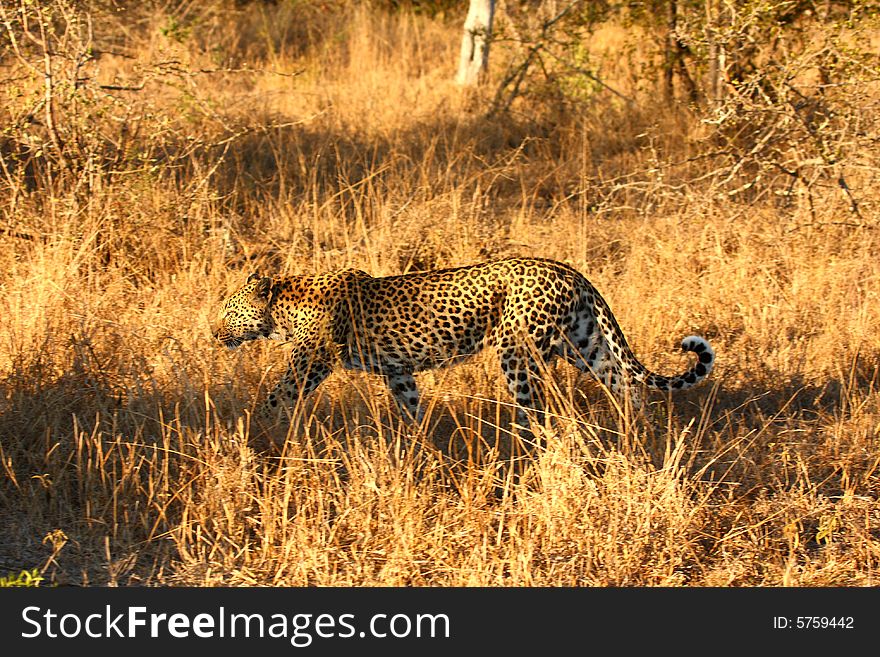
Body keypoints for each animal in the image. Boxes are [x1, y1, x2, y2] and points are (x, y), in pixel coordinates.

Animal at [213, 256, 716, 430]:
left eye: (228, 311)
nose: (214, 333)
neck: (283, 307)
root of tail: (571, 271)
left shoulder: (312, 362)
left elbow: (276, 396)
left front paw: (255, 432)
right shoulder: (398, 371)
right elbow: (411, 407)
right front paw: (419, 446)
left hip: (520, 353)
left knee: (537, 411)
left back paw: (522, 449)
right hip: (584, 345)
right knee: (627, 386)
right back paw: (641, 435)